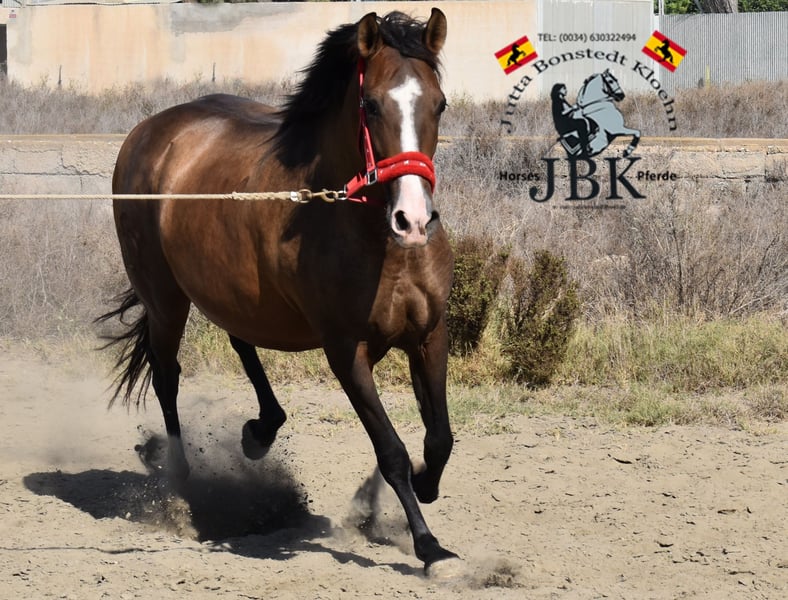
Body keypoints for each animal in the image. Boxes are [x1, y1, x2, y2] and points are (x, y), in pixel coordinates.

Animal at [97, 9, 458, 574]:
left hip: (231, 290)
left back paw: (262, 429)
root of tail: (147, 132)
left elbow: (439, 438)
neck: (377, 239)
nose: (414, 219)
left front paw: (425, 487)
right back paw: (184, 484)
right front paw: (429, 546)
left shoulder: (428, 334)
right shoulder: (345, 351)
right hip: (165, 299)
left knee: (238, 339)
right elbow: (392, 451)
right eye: (371, 105)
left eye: (439, 103)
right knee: (166, 376)